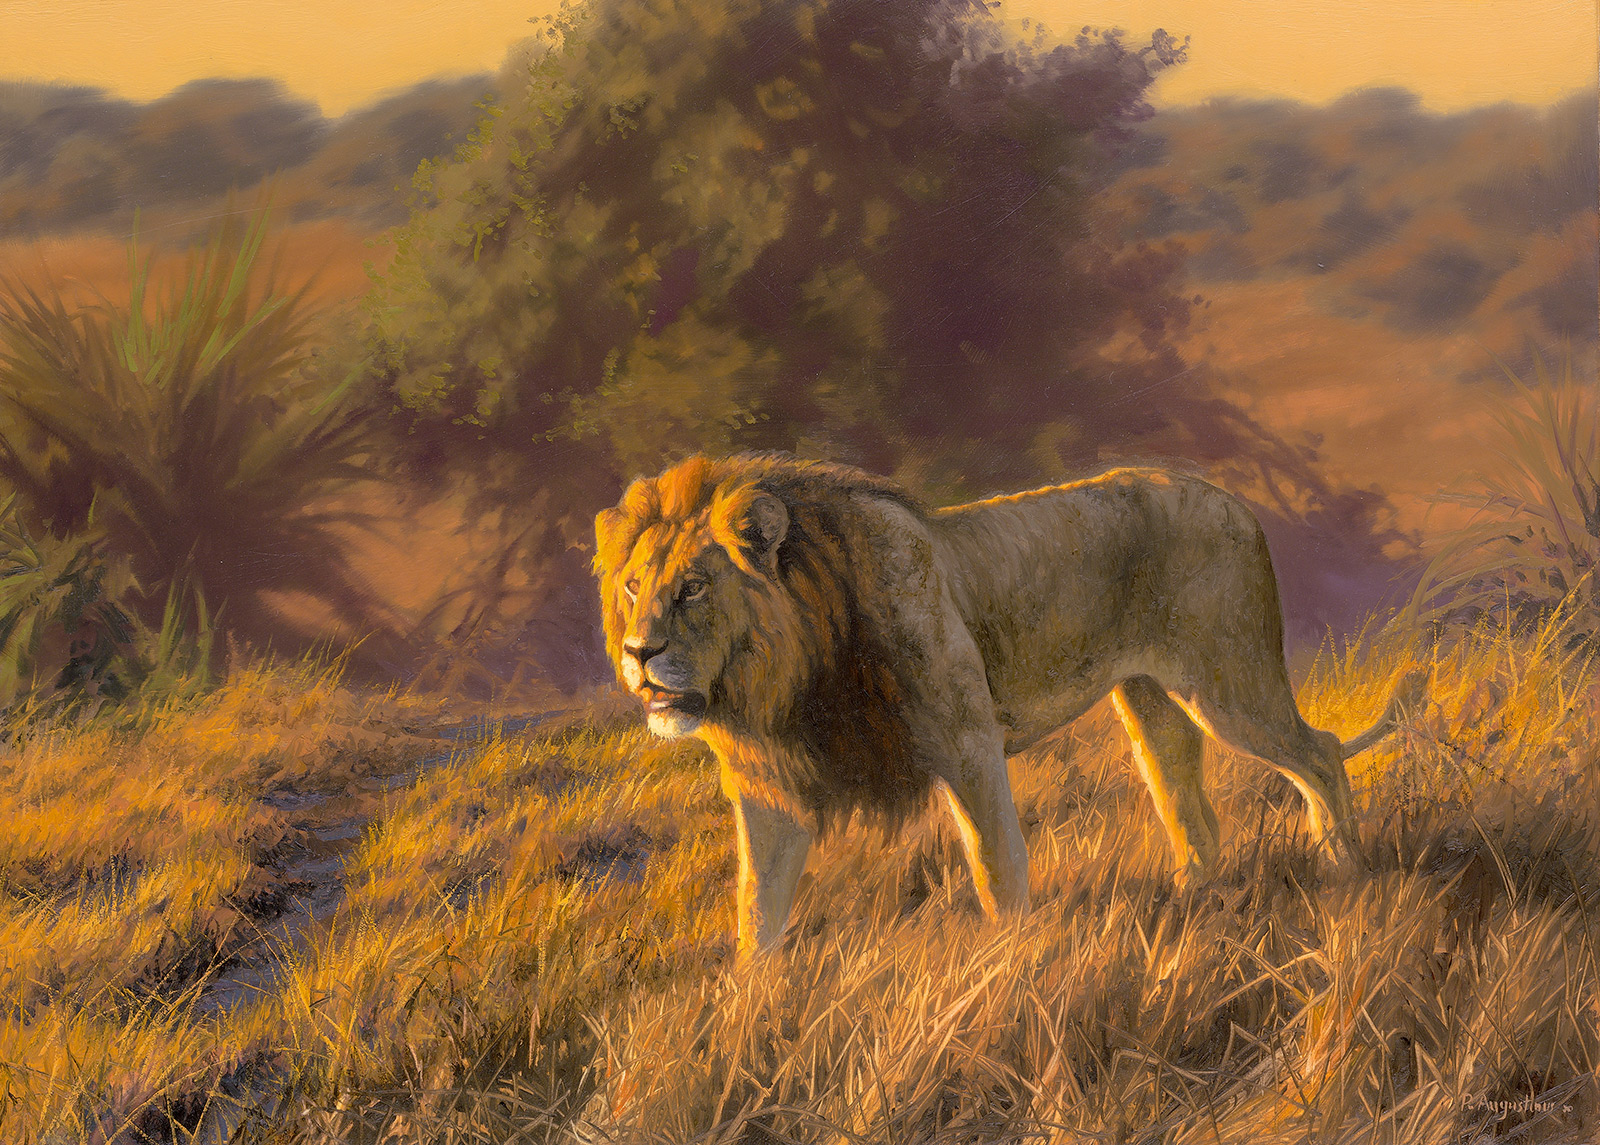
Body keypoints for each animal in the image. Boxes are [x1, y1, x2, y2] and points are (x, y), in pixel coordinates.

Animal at [594, 454, 1421, 956]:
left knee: (1319, 753)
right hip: (1150, 702)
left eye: (693, 587)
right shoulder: (770, 789)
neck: (787, 676)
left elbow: (994, 865)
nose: (638, 653)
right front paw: (747, 1007)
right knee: (1186, 795)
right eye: (633, 585)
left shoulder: (967, 742)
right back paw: (1193, 891)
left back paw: (1343, 867)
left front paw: (1008, 961)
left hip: (1228, 681)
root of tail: (1234, 500)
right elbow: (754, 908)